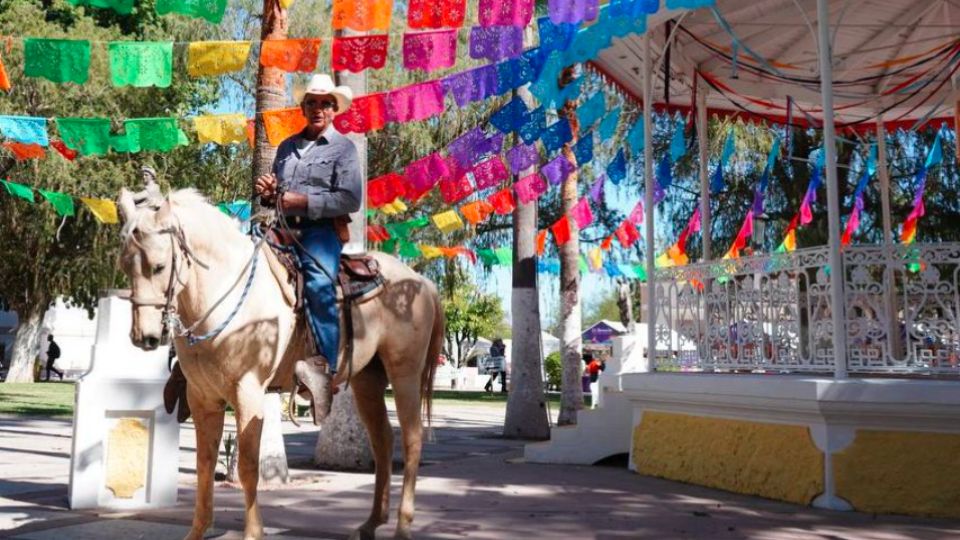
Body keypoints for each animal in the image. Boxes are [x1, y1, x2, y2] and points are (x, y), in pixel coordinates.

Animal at [116, 189, 442, 540]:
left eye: (159, 266)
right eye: (124, 264)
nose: (145, 337)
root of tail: (420, 280)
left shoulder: (248, 391)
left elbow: (248, 466)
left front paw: (253, 532)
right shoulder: (202, 397)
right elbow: (204, 463)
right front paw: (198, 531)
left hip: (405, 372)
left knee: (411, 440)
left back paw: (403, 525)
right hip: (367, 380)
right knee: (383, 442)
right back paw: (370, 523)